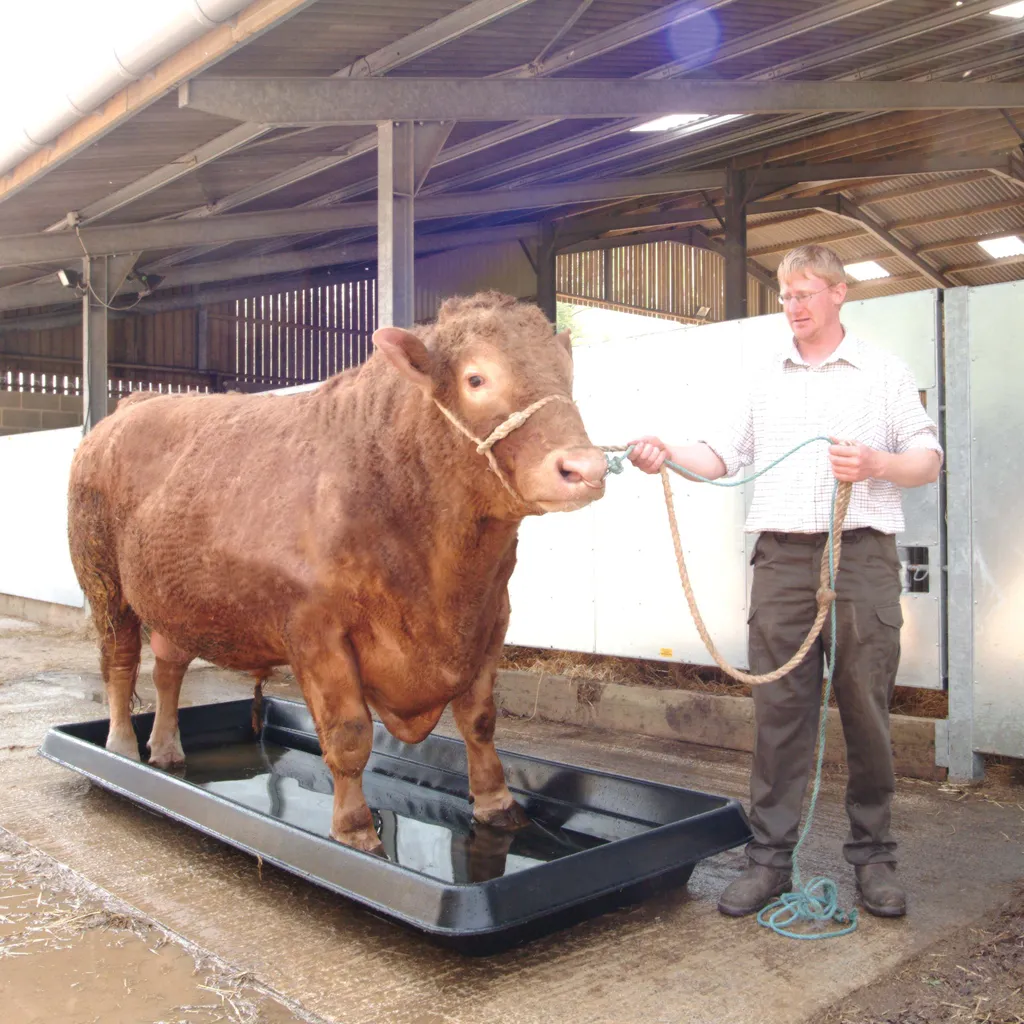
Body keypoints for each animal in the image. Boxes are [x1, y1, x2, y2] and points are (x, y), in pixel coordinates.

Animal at [68, 292, 606, 851]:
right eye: (475, 378)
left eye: (565, 374)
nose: (584, 467)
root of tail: (133, 404)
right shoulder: (316, 630)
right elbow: (349, 733)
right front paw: (353, 829)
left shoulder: (491, 617)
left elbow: (479, 720)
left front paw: (498, 805)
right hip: (105, 583)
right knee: (120, 664)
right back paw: (122, 748)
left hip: (176, 598)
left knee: (168, 668)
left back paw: (167, 748)